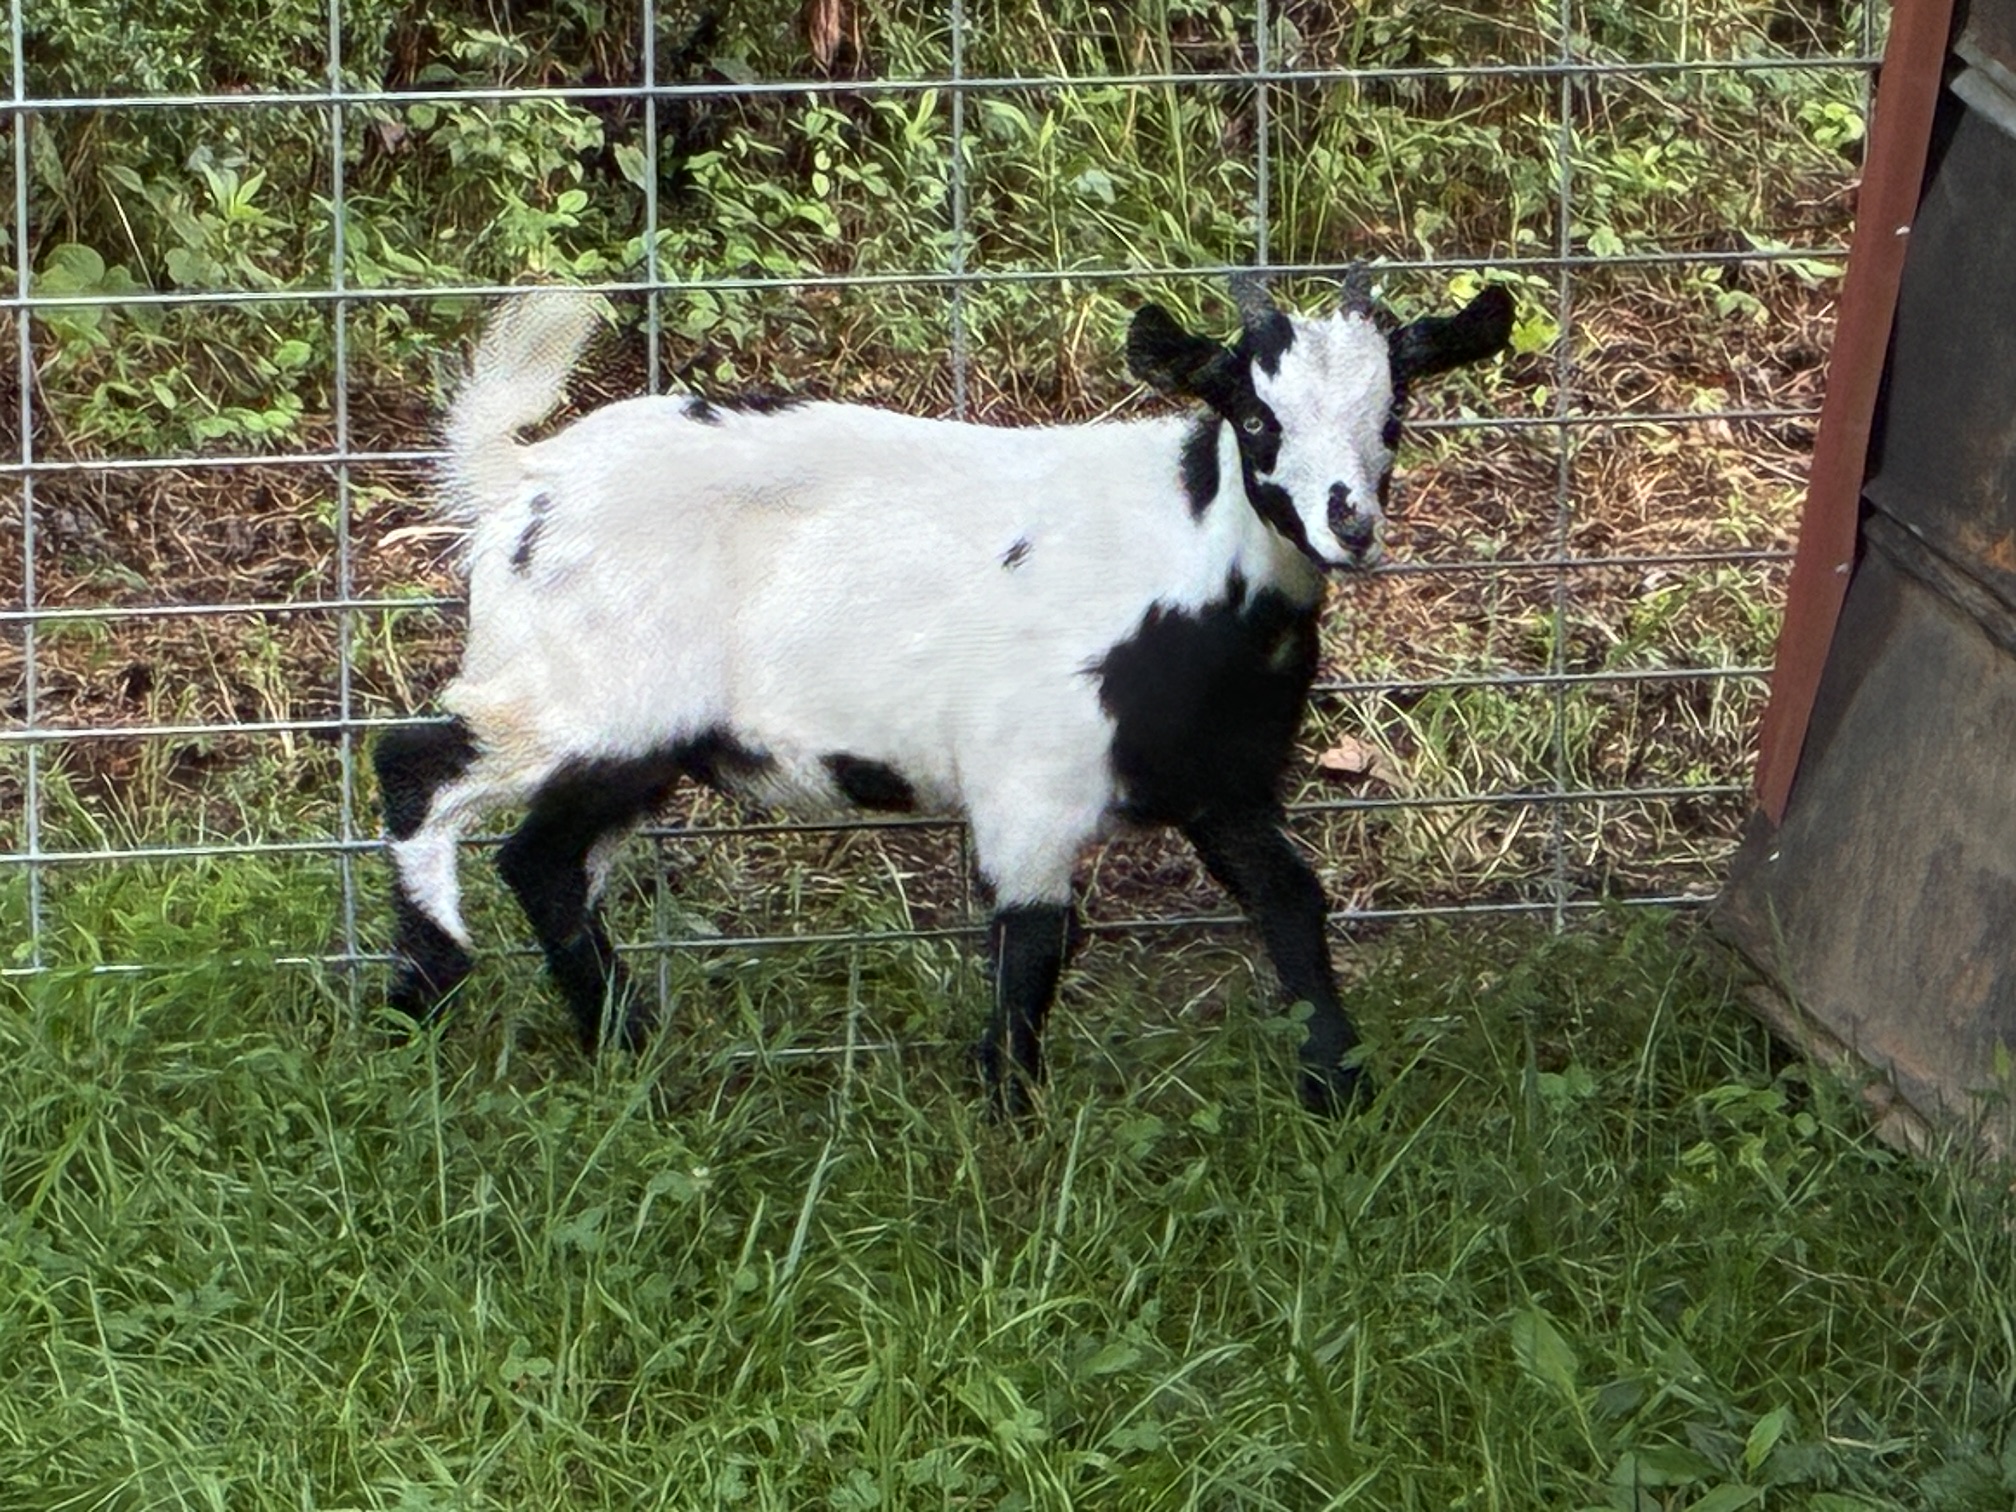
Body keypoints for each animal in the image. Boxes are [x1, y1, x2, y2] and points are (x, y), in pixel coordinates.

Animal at [374, 273, 1514, 1112]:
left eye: (1395, 415)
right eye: (1252, 415)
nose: (1349, 524)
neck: (1197, 568)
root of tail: (520, 481)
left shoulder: (1223, 781)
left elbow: (1290, 898)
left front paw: (1340, 1089)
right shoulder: (1031, 777)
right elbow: (1034, 942)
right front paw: (1010, 1121)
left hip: (637, 739)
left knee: (544, 861)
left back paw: (620, 1047)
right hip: (579, 695)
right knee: (418, 770)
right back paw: (426, 999)